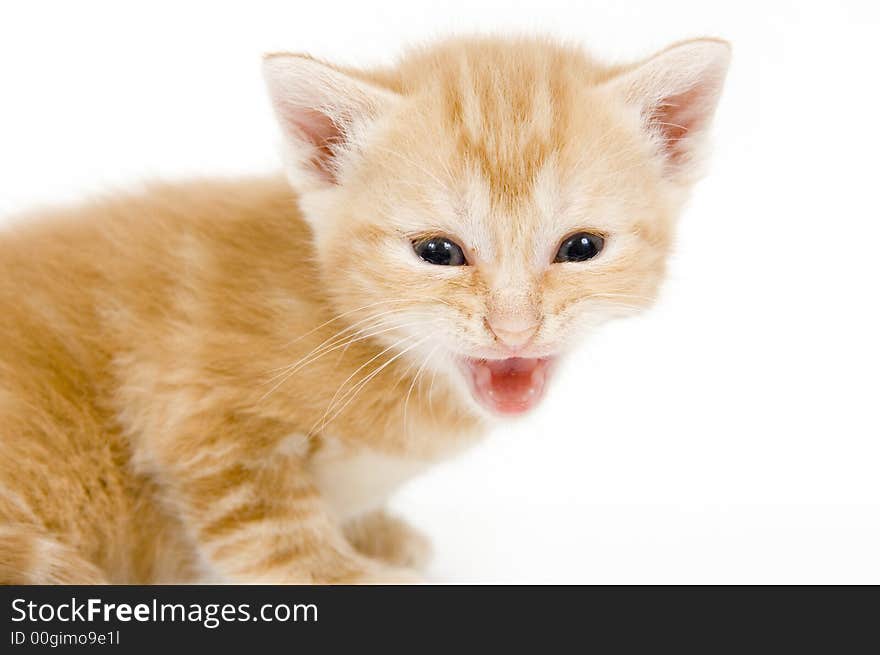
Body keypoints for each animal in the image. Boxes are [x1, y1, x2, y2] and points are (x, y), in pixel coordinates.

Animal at [0, 36, 728, 584]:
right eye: (438, 251)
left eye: (581, 248)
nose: (513, 327)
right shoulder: (191, 400)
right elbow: (268, 529)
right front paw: (355, 574)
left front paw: (380, 535)